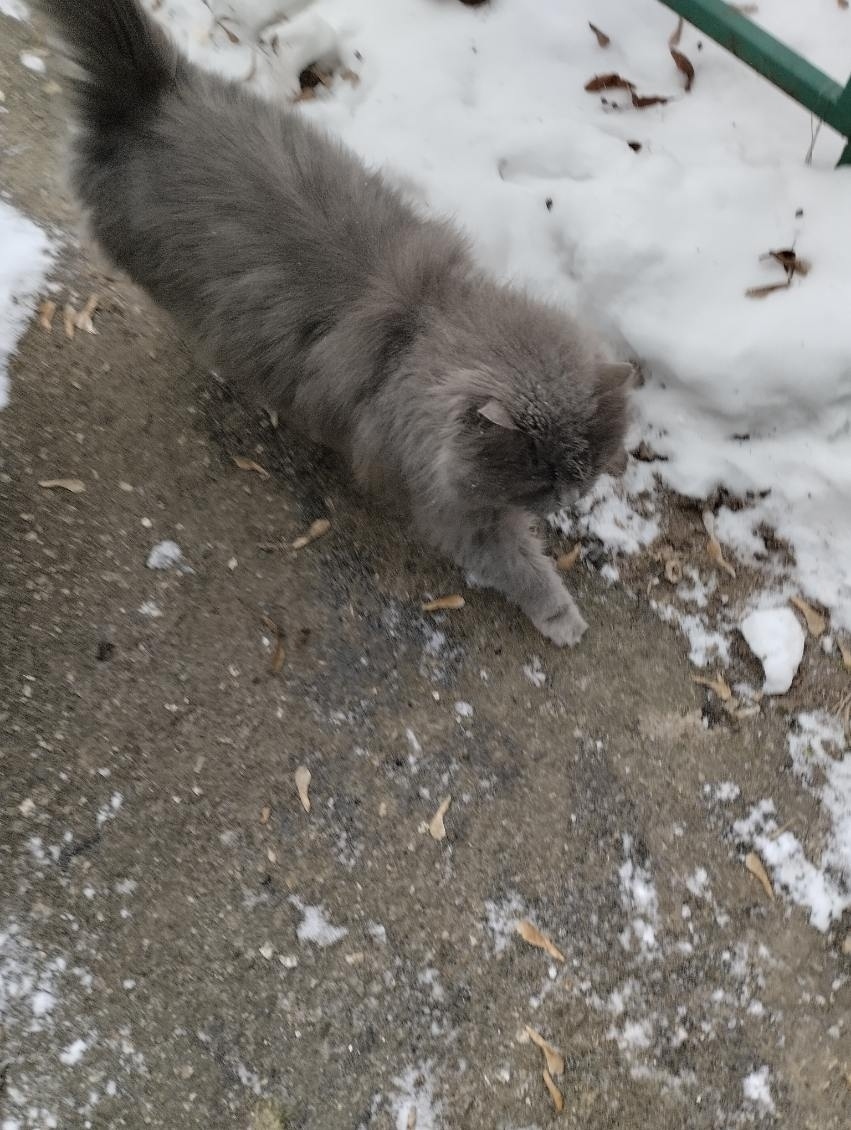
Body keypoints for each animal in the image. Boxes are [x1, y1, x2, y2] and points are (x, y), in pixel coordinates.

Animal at [40, 0, 634, 646]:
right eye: (542, 477)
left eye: (584, 468)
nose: (569, 496)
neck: (422, 325)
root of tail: (151, 94)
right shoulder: (448, 503)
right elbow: (517, 565)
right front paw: (561, 616)